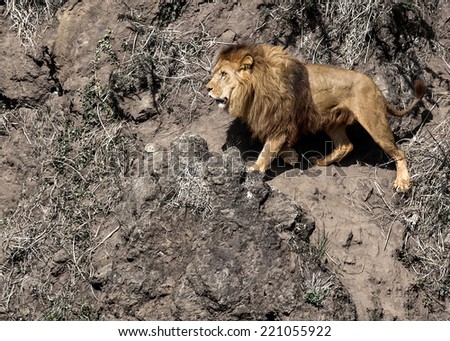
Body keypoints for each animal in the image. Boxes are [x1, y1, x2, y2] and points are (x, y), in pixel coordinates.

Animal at [206, 43, 424, 191]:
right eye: (216, 73)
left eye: (224, 74)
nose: (207, 88)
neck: (256, 87)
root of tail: (376, 86)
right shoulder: (282, 123)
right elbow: (279, 147)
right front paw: (292, 157)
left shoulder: (281, 123)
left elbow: (268, 149)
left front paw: (255, 169)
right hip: (333, 122)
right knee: (346, 145)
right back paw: (322, 162)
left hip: (374, 121)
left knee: (399, 151)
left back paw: (403, 182)